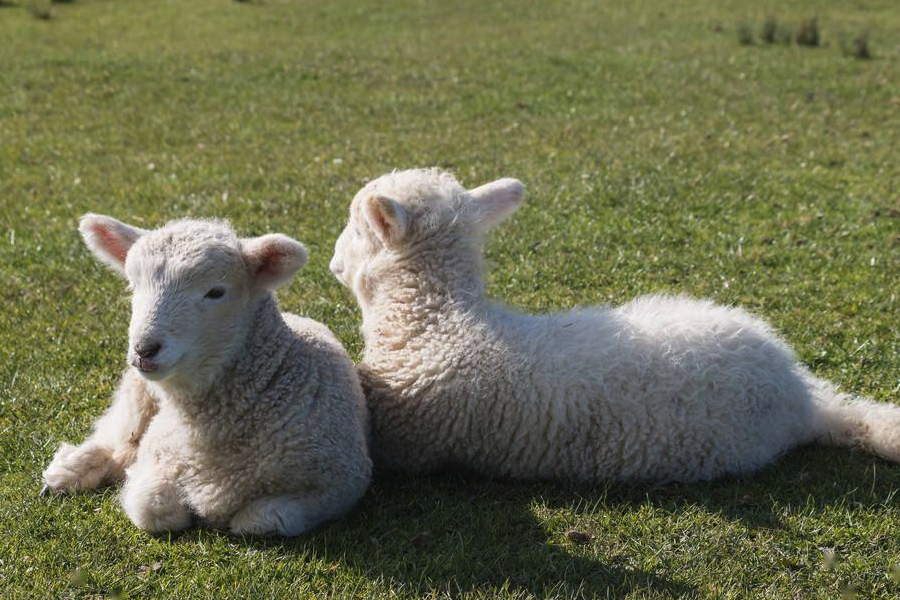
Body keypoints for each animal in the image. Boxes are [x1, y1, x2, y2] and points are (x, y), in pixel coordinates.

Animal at [41, 214, 372, 536]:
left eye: (215, 292)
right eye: (133, 286)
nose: (144, 350)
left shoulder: (339, 486)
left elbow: (259, 520)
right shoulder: (159, 455)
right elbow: (154, 509)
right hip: (137, 395)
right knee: (114, 435)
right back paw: (68, 471)